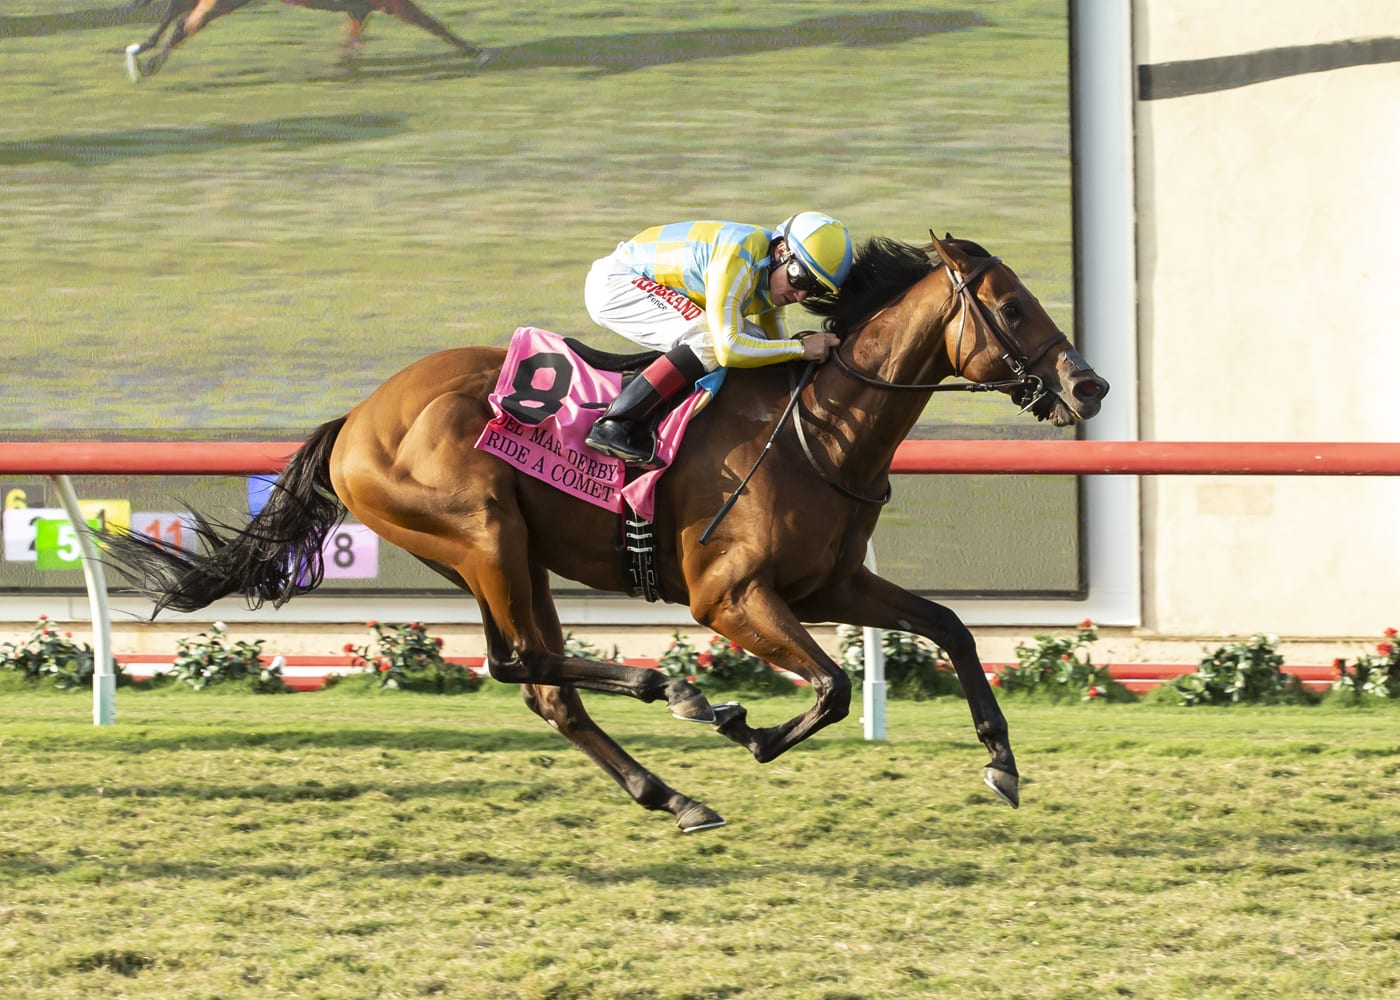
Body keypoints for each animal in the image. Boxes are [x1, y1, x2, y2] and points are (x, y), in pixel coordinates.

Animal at [106, 229, 1103, 829]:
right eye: (1012, 306)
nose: (1086, 385)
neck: (820, 429)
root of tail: (357, 416)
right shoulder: (728, 597)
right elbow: (828, 687)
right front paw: (749, 730)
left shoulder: (832, 583)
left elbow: (951, 627)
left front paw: (1002, 763)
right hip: (481, 533)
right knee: (522, 662)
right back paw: (681, 693)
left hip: (509, 554)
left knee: (545, 684)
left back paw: (669, 791)